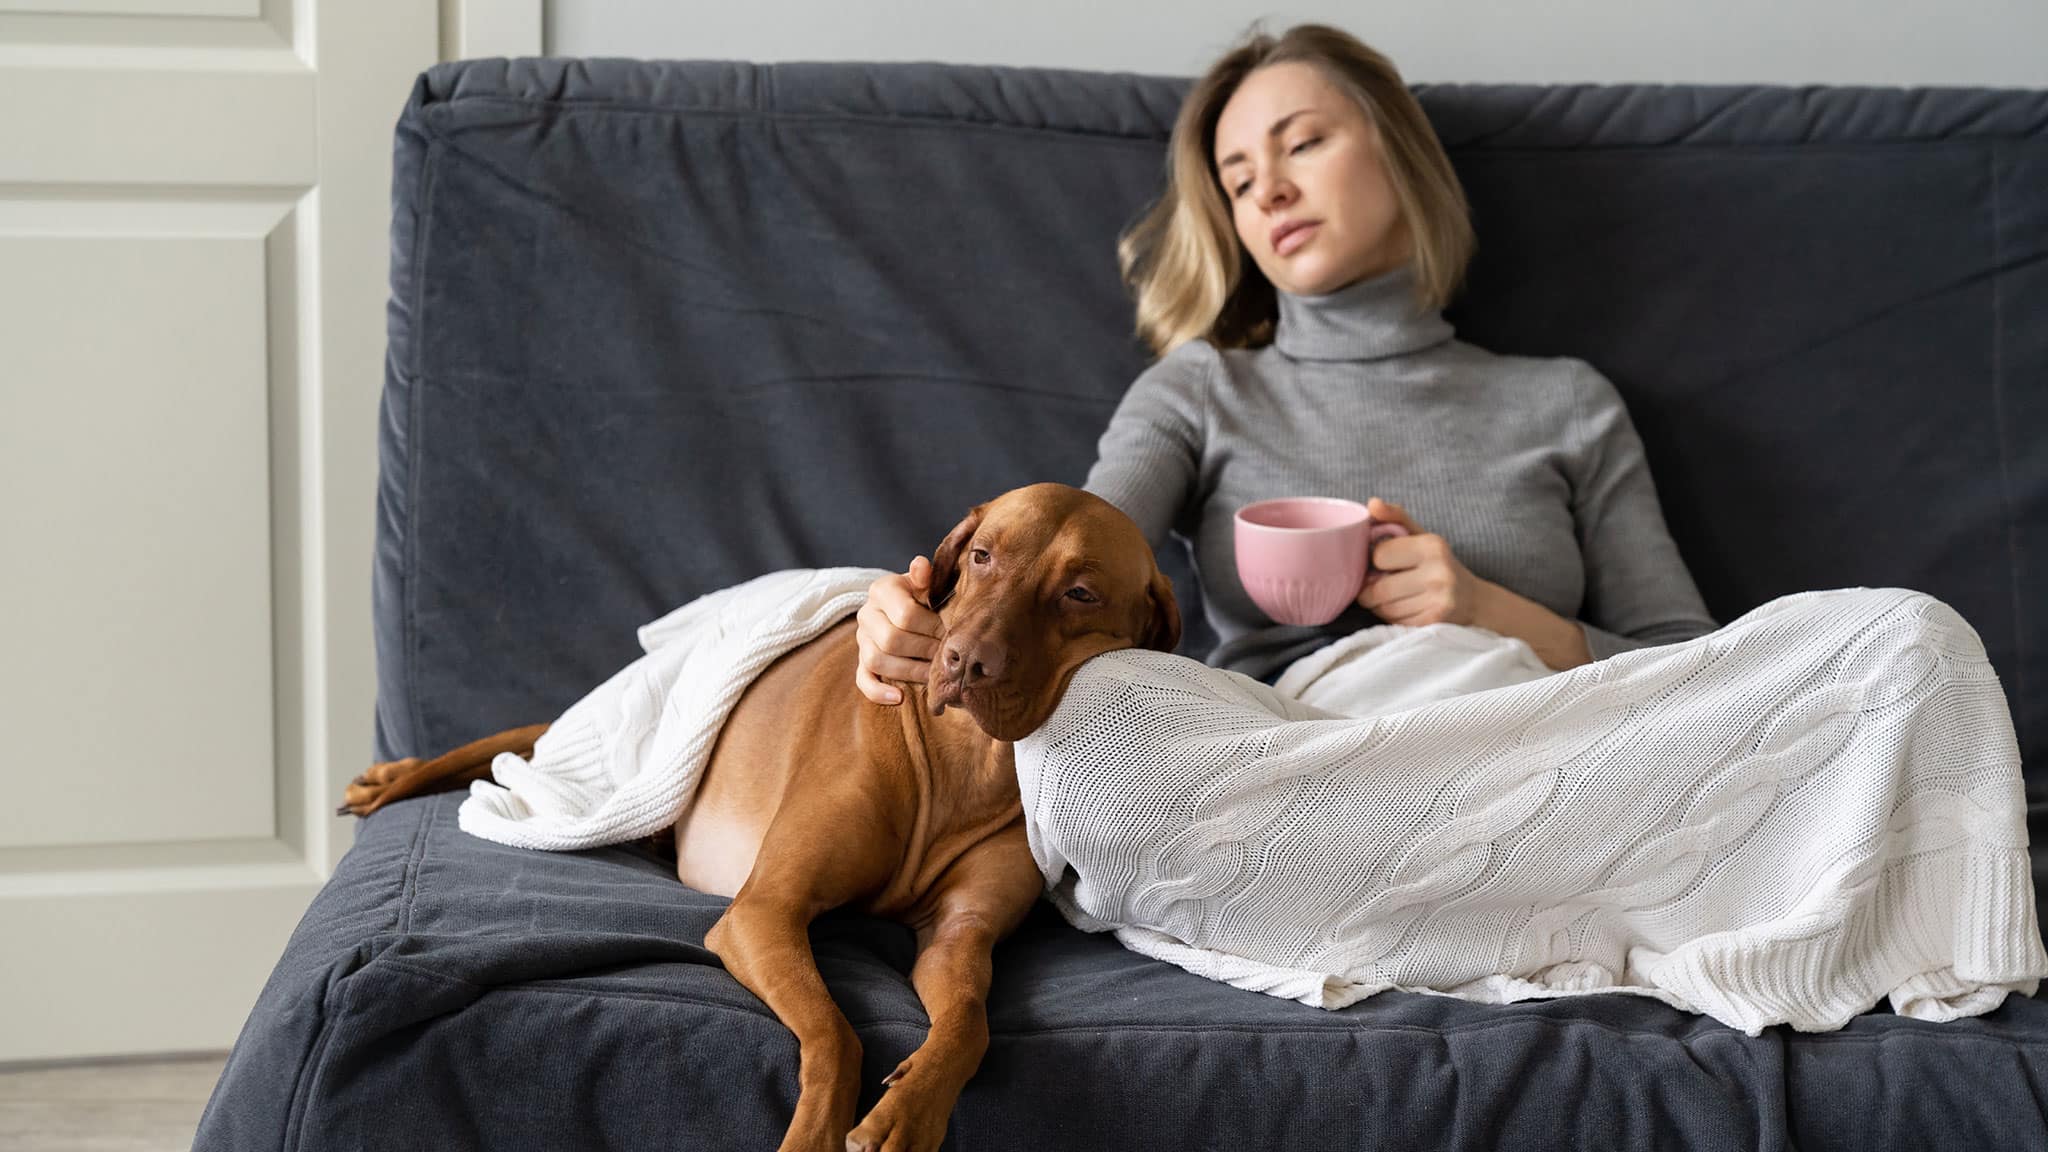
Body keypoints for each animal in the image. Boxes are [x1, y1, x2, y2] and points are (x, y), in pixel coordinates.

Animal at [339, 481, 1187, 1147]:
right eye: (982, 556)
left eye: (1080, 593)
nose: (964, 662)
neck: (960, 762)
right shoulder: (764, 910)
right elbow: (835, 1034)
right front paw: (817, 1132)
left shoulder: (958, 939)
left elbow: (971, 1025)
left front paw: (909, 1108)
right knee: (508, 744)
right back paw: (388, 780)